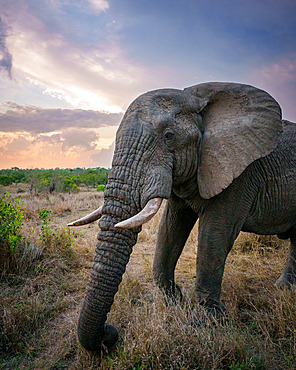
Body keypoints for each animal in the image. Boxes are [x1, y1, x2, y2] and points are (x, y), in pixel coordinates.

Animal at [69, 82, 296, 352]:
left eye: (169, 137)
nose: (110, 334)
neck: (196, 97)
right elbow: (170, 228)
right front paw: (175, 301)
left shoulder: (240, 172)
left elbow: (215, 235)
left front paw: (206, 323)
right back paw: (284, 289)